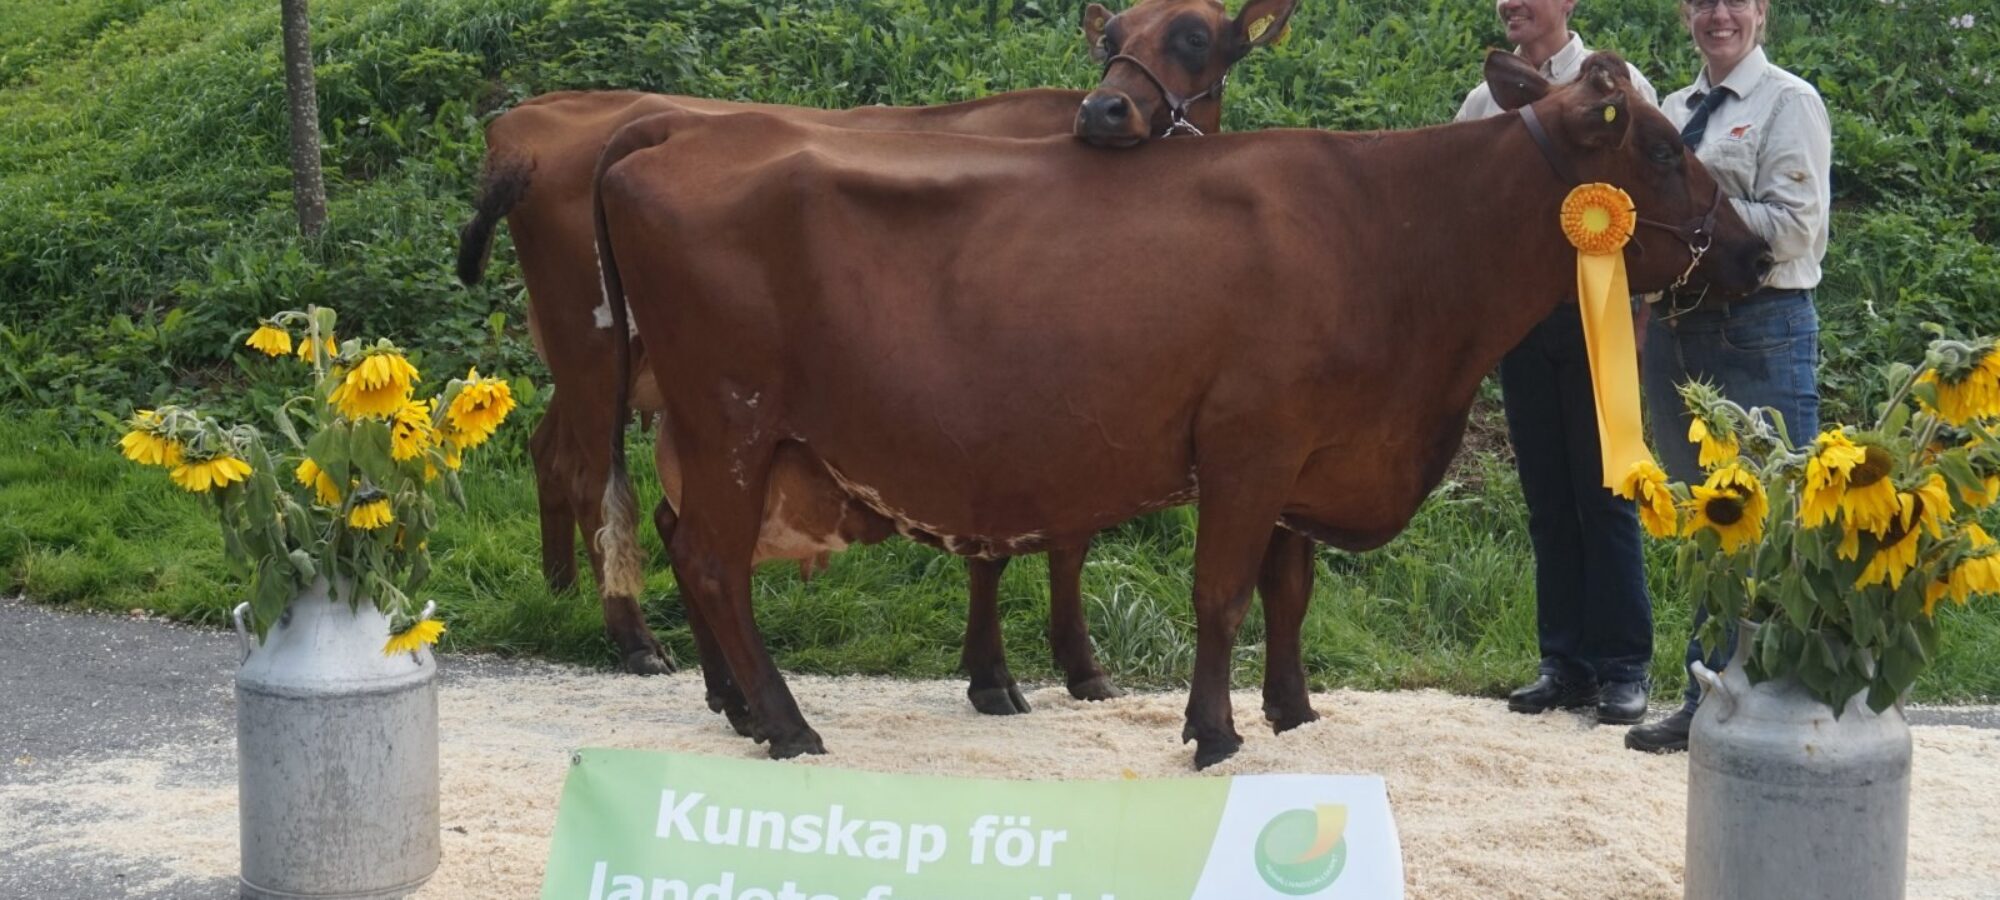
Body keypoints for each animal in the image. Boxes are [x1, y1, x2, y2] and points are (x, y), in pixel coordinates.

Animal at [456, 0, 1297, 715]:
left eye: (1194, 34)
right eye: (1111, 35)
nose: (1105, 109)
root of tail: (535, 117)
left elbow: (1062, 536)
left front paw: (1064, 667)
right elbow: (1020, 544)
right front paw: (1008, 674)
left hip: (610, 371)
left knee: (571, 463)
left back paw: (581, 606)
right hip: (597, 350)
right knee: (599, 484)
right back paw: (634, 638)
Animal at [592, 49, 1773, 768]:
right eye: (1662, 148)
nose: (1758, 251)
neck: (1388, 231)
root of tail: (671, 133)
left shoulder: (1309, 452)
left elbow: (1288, 592)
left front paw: (1294, 713)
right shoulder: (1249, 442)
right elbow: (1222, 595)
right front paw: (1215, 733)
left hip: (717, 430)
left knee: (691, 550)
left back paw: (746, 710)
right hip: (731, 417)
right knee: (711, 562)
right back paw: (786, 724)